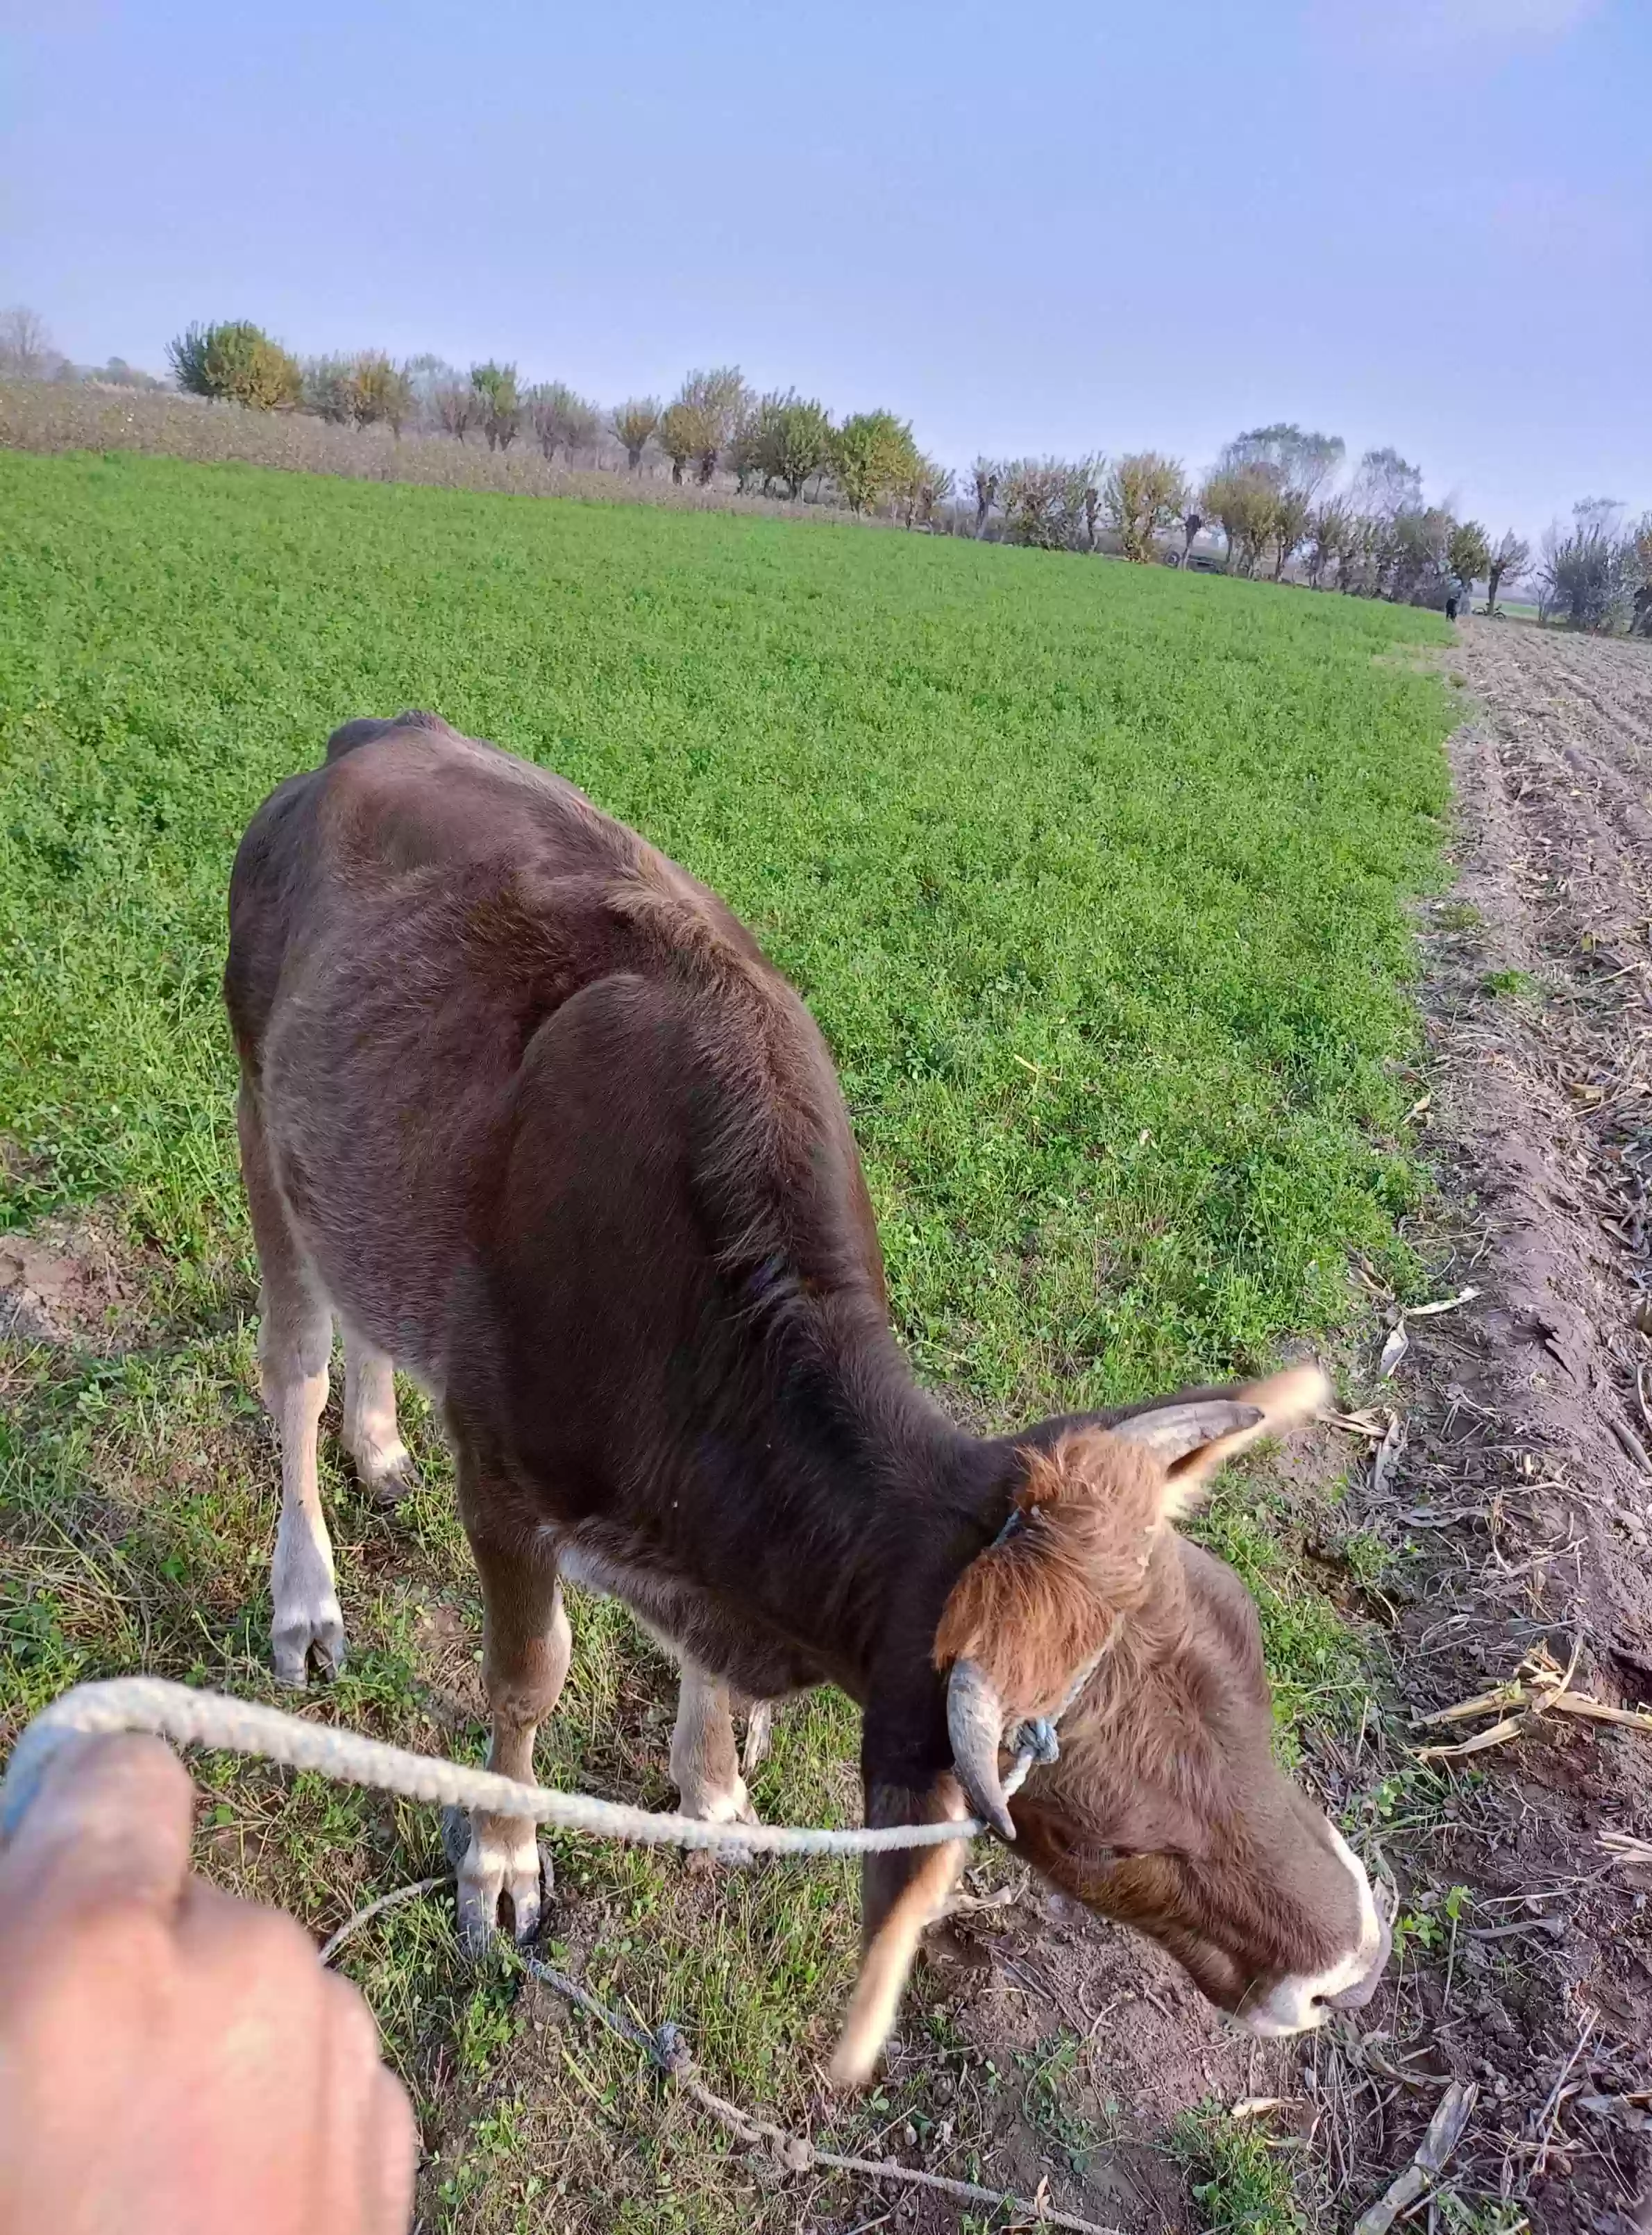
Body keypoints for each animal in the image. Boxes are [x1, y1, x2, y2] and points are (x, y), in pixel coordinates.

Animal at [224, 712, 1388, 2084]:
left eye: (1252, 1662)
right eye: (1109, 1844)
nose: (1351, 1965)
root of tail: (375, 733)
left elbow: (691, 1673)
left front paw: (715, 1786)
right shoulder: (507, 1482)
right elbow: (527, 1681)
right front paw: (503, 1861)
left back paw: (379, 1438)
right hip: (259, 1105)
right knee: (294, 1360)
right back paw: (307, 1588)